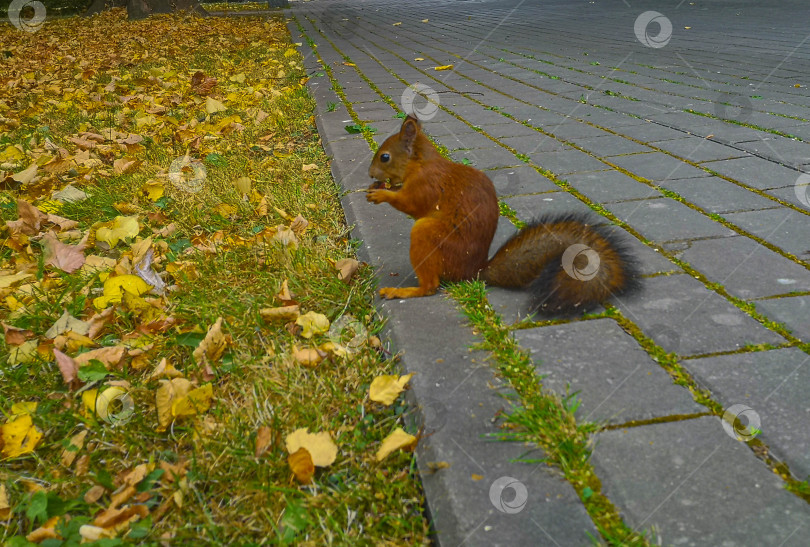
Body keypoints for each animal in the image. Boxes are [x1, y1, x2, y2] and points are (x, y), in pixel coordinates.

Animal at [366, 115, 636, 316]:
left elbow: (411, 204)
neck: (421, 164)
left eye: (385, 157)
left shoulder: (427, 185)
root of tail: (473, 272)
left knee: (431, 287)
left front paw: (381, 194)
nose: (370, 174)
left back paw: (404, 291)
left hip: (427, 235)